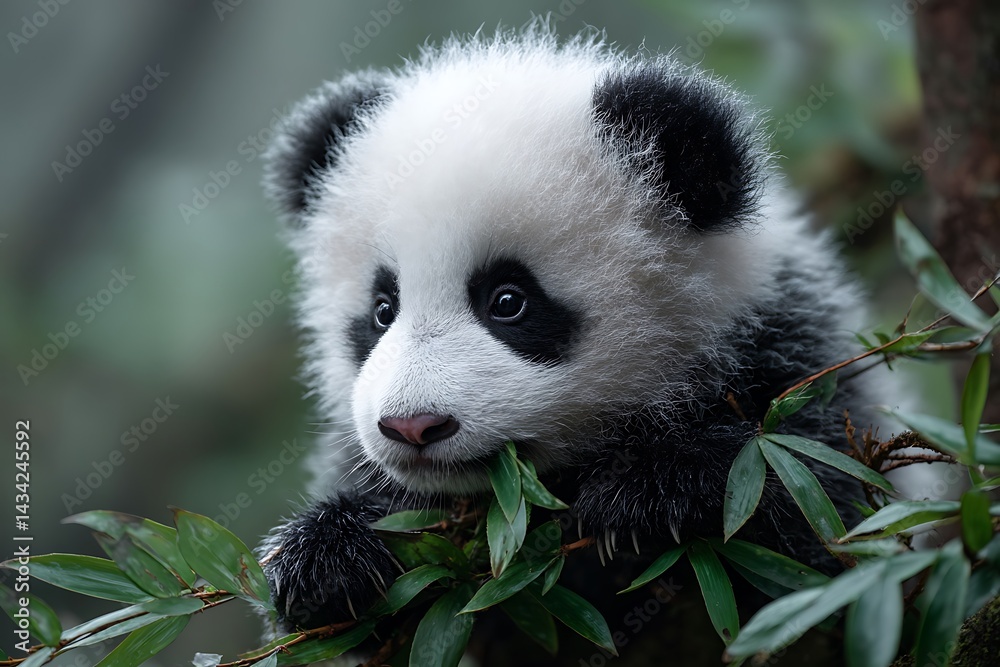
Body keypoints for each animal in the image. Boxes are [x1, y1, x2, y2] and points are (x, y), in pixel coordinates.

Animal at [258, 26, 875, 662]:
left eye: (509, 301)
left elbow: (811, 519)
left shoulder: (788, 355)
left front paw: (651, 493)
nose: (413, 427)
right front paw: (329, 560)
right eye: (383, 309)